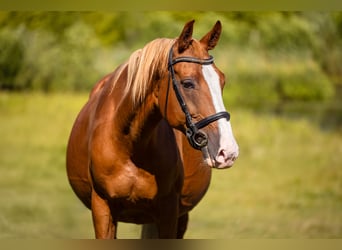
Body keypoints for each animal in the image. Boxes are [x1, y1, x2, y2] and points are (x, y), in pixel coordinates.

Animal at [66, 19, 238, 238]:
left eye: (222, 81)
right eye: (187, 83)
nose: (228, 151)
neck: (129, 145)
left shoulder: (168, 212)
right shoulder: (102, 207)